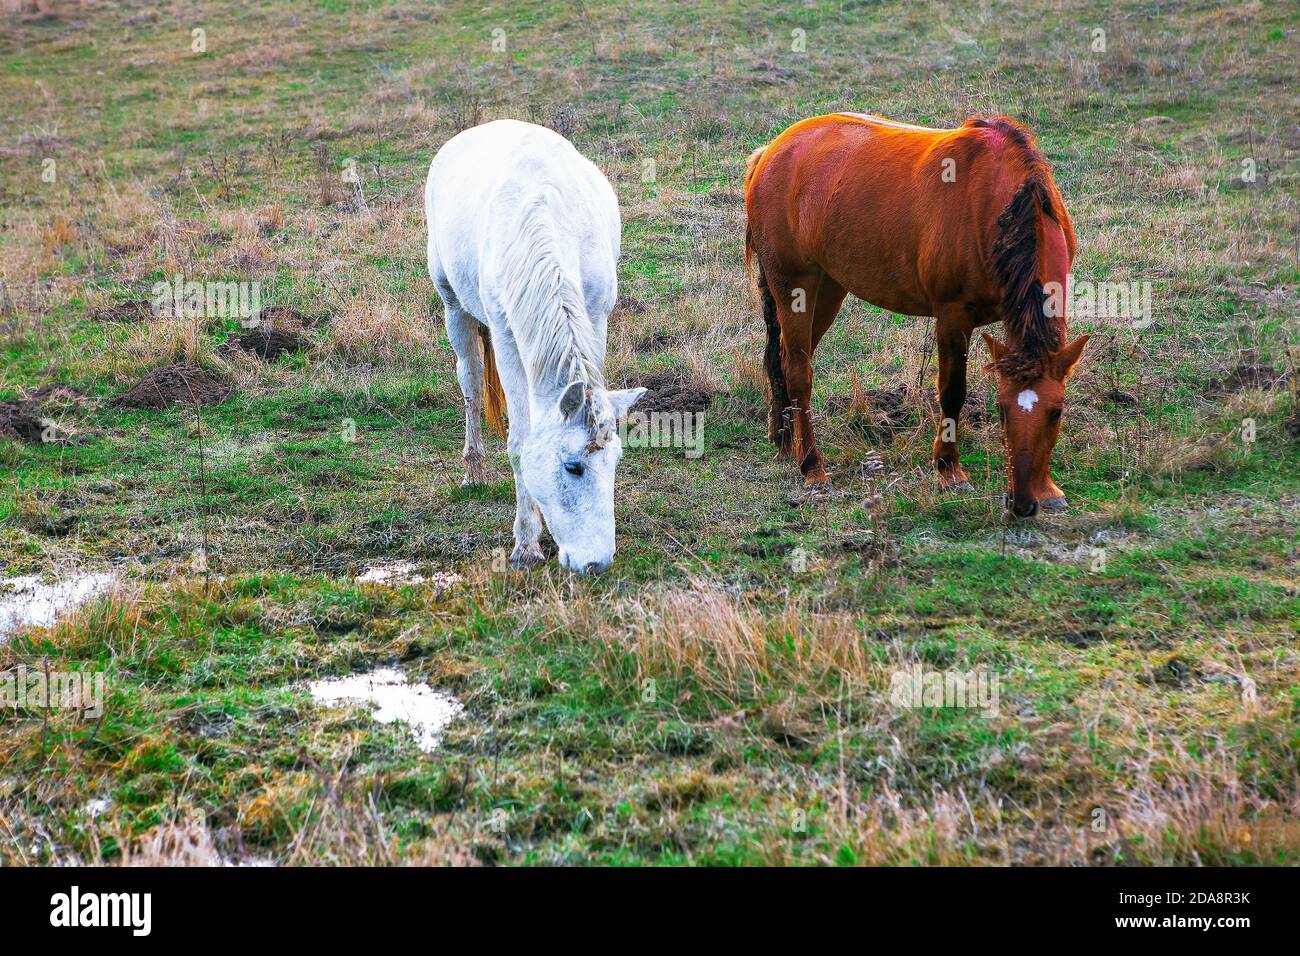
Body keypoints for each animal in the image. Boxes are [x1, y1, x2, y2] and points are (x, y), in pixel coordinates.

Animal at [425, 120, 645, 572]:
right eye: (572, 467)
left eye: (615, 462)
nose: (597, 562)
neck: (545, 217)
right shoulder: (507, 338)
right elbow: (519, 442)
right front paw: (526, 544)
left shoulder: (596, 317)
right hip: (453, 306)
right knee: (470, 381)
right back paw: (474, 470)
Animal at [744, 113, 1088, 518]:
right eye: (1001, 411)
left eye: (1056, 413)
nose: (1023, 503)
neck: (995, 200)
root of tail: (772, 151)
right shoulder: (952, 316)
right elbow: (952, 391)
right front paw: (948, 470)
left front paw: (1049, 489)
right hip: (794, 287)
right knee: (799, 372)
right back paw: (813, 468)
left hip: (828, 288)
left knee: (782, 358)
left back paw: (786, 443)